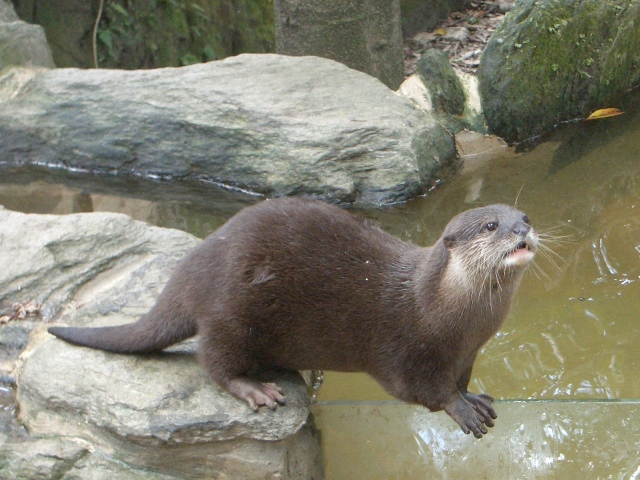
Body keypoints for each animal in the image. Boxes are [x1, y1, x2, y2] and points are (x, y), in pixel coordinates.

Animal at [48, 198, 536, 438]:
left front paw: (473, 398)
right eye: (491, 225)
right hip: (232, 312)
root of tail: (192, 269)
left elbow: (461, 380)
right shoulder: (407, 351)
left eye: (522, 215)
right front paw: (461, 408)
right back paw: (256, 389)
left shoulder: (468, 353)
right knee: (212, 360)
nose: (523, 227)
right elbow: (426, 390)